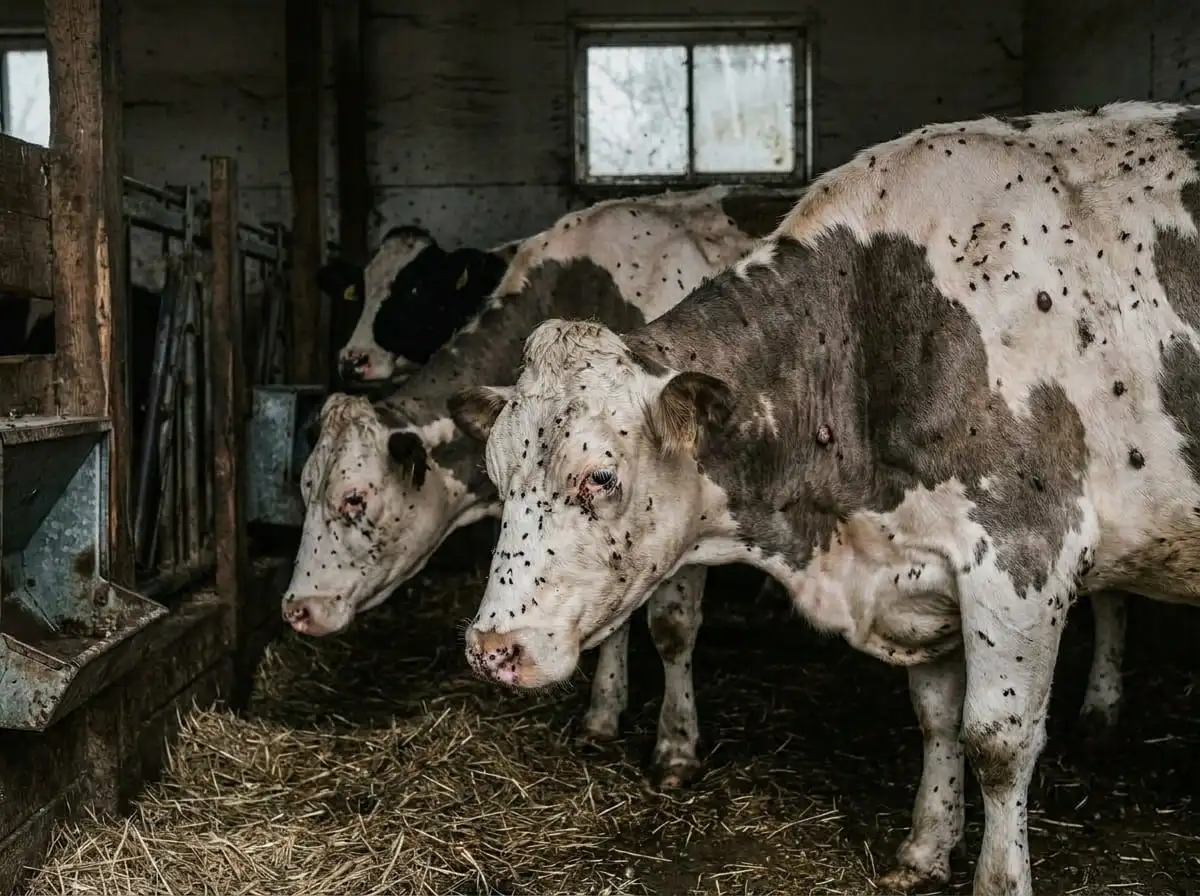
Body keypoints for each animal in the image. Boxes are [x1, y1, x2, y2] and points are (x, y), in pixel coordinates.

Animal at [448, 101, 1200, 896]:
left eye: (601, 476)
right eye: (498, 475)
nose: (491, 649)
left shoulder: (1024, 555)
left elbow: (998, 744)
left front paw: (997, 879)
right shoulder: (921, 565)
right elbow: (937, 718)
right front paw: (924, 849)